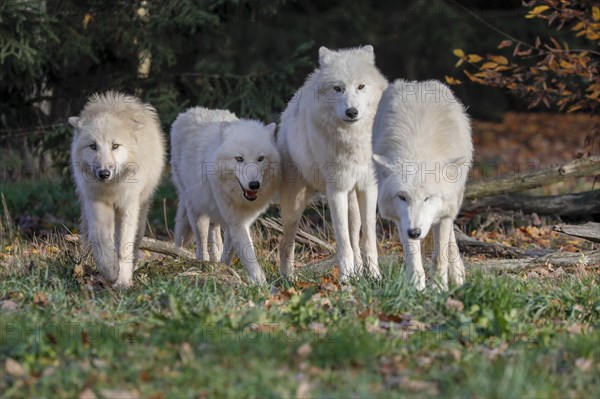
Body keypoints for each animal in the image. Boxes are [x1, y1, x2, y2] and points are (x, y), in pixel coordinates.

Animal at [69, 91, 165, 288]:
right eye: (93, 146)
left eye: (115, 146)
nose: (103, 173)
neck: (111, 188)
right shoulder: (97, 202)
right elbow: (101, 238)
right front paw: (110, 270)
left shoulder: (128, 205)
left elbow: (125, 245)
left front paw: (123, 281)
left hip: (141, 207)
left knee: (134, 238)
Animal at [170, 108, 280, 286]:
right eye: (239, 159)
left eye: (260, 158)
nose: (254, 185)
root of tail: (188, 112)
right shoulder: (236, 221)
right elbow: (248, 253)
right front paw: (260, 283)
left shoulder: (239, 221)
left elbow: (230, 251)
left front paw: (224, 268)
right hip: (195, 209)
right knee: (201, 243)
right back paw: (203, 263)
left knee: (214, 232)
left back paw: (215, 259)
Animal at [278, 45, 386, 282]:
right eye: (338, 88)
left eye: (361, 86)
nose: (352, 112)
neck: (353, 142)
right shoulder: (336, 191)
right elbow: (343, 243)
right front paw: (345, 279)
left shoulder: (368, 187)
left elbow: (368, 239)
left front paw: (374, 276)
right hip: (294, 207)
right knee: (286, 244)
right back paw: (288, 278)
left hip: (352, 199)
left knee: (355, 236)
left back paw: (359, 271)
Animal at [370, 79, 474, 290]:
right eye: (402, 197)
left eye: (427, 198)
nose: (415, 232)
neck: (418, 151)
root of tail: (418, 83)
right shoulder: (402, 219)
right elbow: (412, 255)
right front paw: (416, 288)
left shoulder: (443, 213)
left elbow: (440, 255)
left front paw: (439, 288)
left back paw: (457, 274)